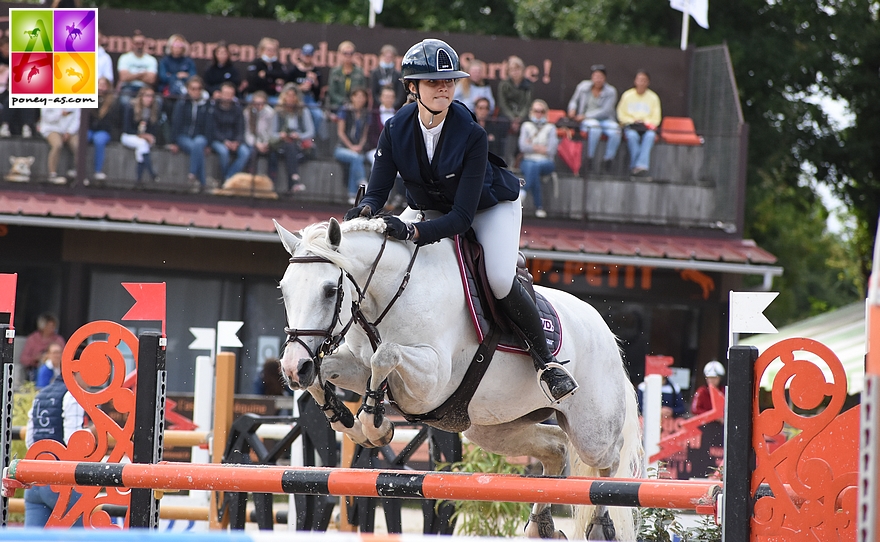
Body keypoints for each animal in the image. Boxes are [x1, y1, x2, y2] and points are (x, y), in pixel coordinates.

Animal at [278, 218, 644, 540]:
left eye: (329, 291)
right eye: (284, 290)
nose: (294, 367)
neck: (390, 294)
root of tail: (604, 330)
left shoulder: (432, 381)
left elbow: (385, 355)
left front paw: (374, 425)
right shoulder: (356, 365)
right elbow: (331, 371)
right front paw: (347, 421)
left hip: (592, 430)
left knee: (609, 462)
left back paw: (600, 525)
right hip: (490, 428)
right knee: (555, 448)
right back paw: (541, 526)